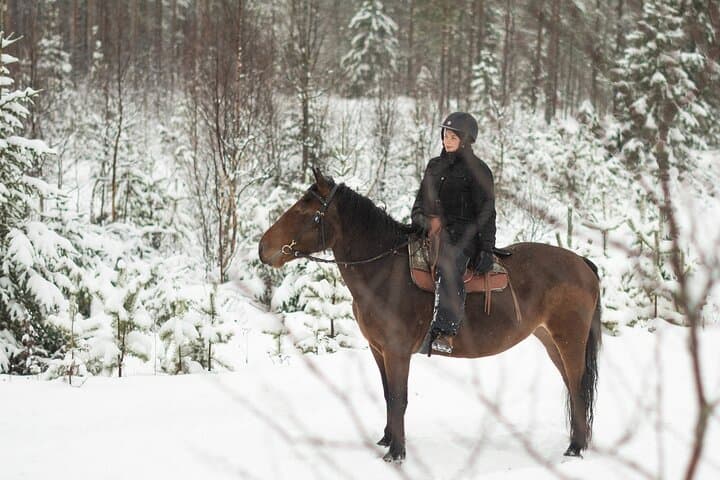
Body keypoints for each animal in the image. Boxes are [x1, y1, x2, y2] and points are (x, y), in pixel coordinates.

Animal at [258, 168, 601, 463]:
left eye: (304, 211)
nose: (263, 248)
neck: (384, 270)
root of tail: (583, 263)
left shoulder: (397, 351)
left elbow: (399, 397)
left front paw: (396, 453)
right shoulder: (378, 349)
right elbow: (388, 395)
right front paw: (387, 439)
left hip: (569, 340)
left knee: (577, 385)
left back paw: (575, 447)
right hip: (550, 339)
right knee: (572, 386)